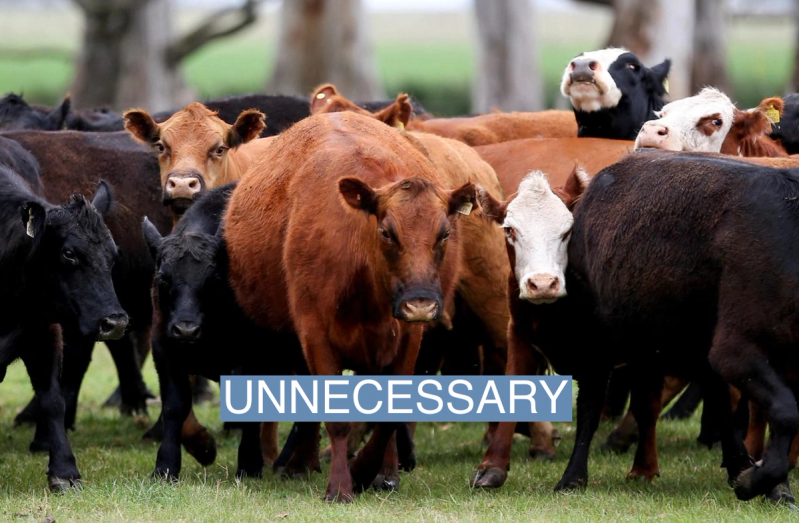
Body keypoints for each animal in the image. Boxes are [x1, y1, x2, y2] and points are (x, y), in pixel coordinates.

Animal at [0, 166, 127, 491]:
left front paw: (64, 470)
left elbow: (53, 401)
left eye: (113, 255)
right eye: (69, 253)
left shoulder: (44, 336)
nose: (115, 322)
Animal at [224, 111, 477, 502]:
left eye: (445, 233)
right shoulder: (314, 335)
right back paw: (301, 464)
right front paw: (341, 485)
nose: (419, 302)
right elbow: (337, 418)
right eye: (387, 232)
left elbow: (389, 415)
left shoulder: (408, 338)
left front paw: (369, 471)